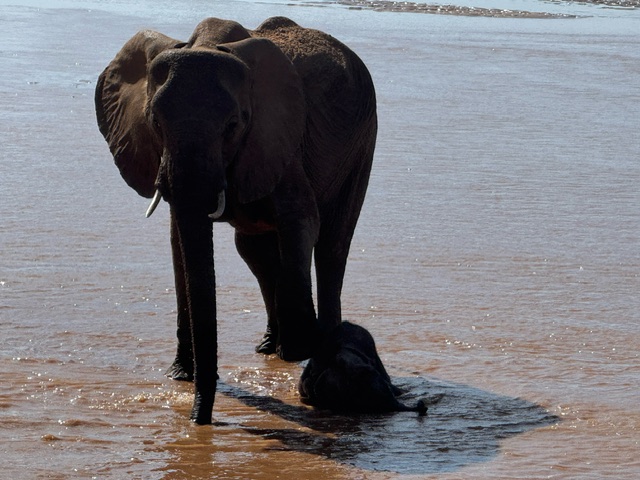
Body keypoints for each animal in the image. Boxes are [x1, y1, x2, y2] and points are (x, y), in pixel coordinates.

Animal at [95, 17, 377, 424]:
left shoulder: (278, 135)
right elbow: (180, 243)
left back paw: (317, 344)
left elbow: (302, 221)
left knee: (331, 246)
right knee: (253, 250)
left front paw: (300, 350)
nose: (199, 420)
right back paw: (269, 347)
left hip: (362, 140)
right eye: (154, 122)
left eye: (233, 125)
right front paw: (179, 375)